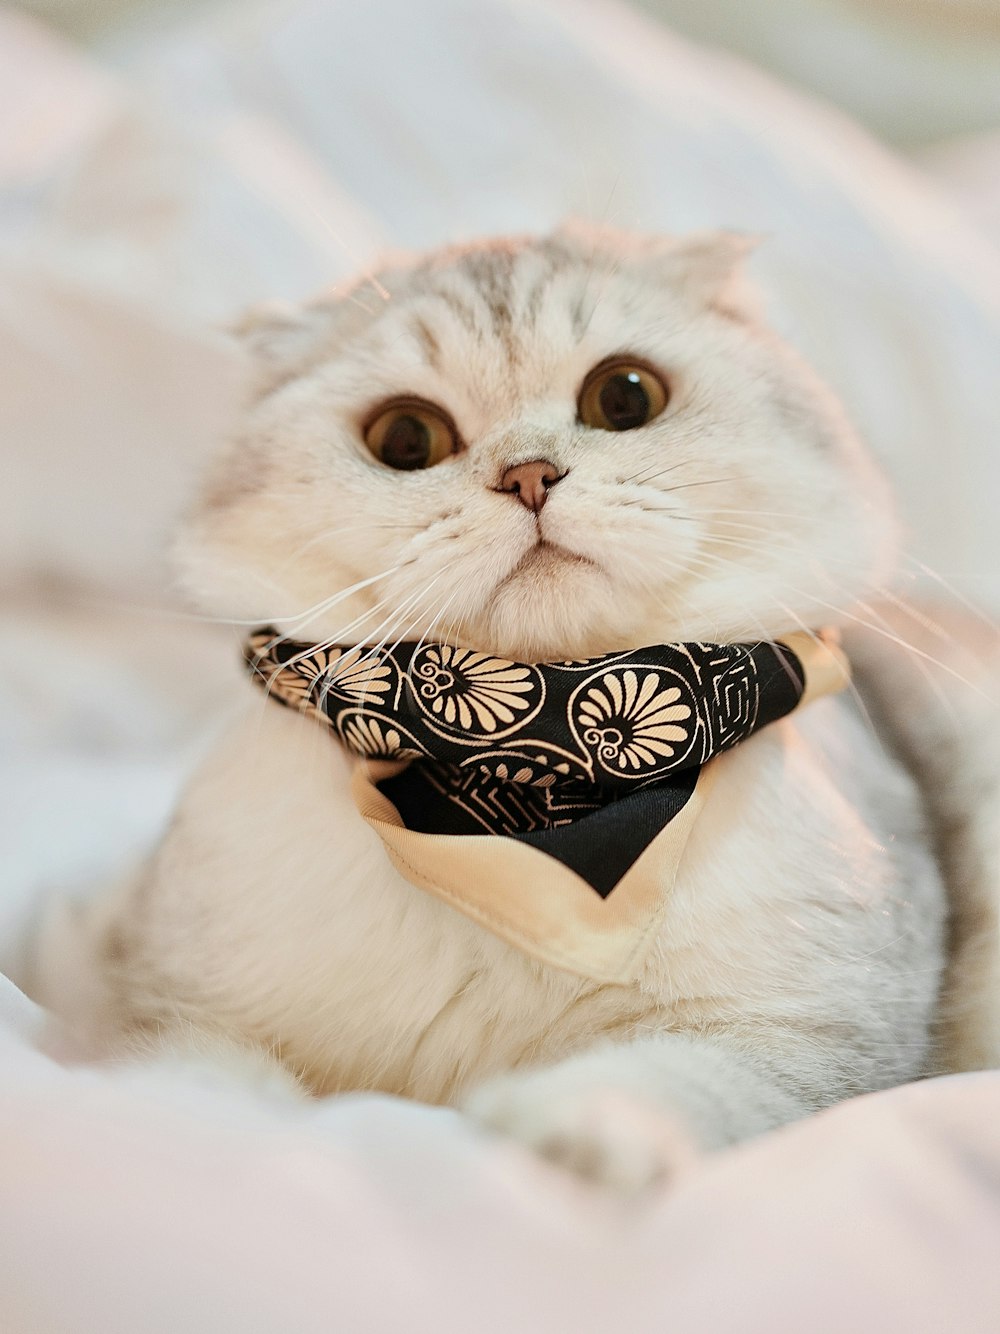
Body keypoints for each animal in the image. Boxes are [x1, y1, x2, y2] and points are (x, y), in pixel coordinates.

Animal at [49, 226, 954, 1189]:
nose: (530, 476)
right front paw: (200, 1118)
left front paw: (564, 1130)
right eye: (405, 437)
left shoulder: (822, 1036)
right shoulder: (166, 998)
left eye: (625, 395)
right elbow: (192, 1068)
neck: (536, 785)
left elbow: (675, 1080)